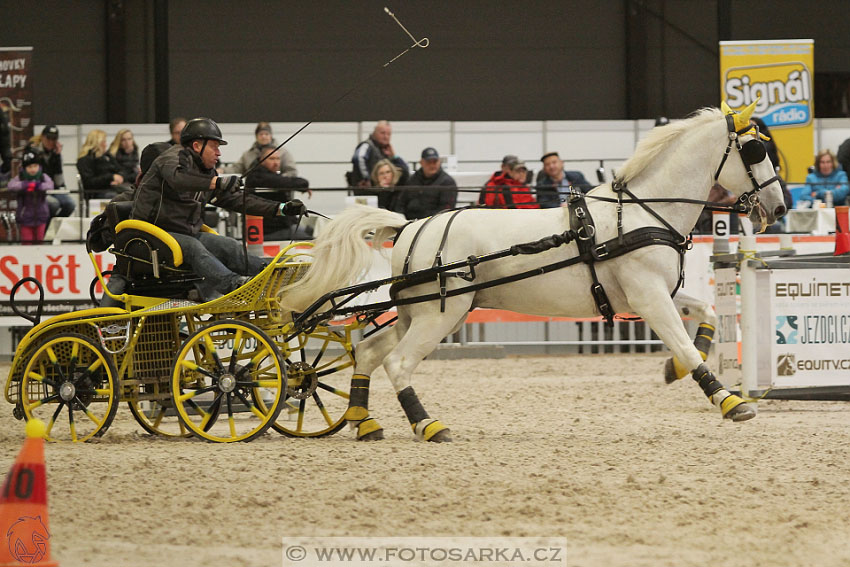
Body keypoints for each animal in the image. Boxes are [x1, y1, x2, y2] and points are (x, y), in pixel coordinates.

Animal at [282, 106, 784, 444]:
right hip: (438, 316)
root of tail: (409, 225)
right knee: (398, 363)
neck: (642, 210)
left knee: (369, 353)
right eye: (756, 149)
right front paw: (731, 401)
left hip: (420, 313)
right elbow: (684, 343)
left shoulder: (652, 293)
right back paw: (428, 424)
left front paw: (673, 370)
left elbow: (703, 316)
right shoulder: (648, 296)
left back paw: (365, 421)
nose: (778, 208)